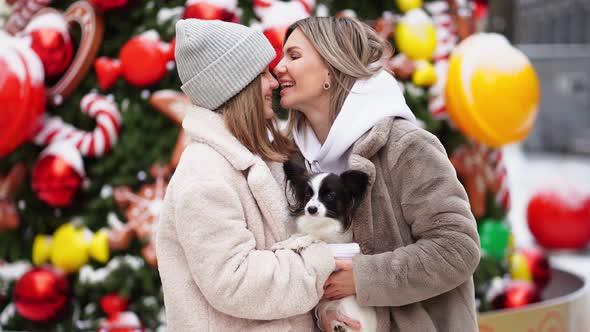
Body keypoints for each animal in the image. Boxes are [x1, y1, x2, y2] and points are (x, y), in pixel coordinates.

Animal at [274, 161, 380, 332]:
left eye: (330, 196)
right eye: (307, 195)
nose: (311, 209)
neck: (319, 223)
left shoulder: (336, 242)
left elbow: (314, 237)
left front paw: (298, 244)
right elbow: (296, 235)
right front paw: (283, 243)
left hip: (347, 303)